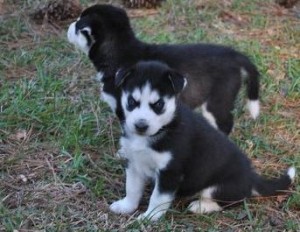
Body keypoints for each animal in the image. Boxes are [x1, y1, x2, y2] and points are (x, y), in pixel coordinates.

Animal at [68, 3, 260, 134]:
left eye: (78, 23)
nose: (69, 26)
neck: (119, 51)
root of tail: (234, 54)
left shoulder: (125, 109)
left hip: (217, 101)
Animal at [110, 61, 296, 221]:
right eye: (132, 101)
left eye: (158, 104)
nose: (140, 126)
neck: (162, 129)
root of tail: (251, 177)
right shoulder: (134, 162)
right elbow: (132, 188)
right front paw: (126, 206)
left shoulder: (170, 172)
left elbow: (157, 198)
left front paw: (149, 217)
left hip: (217, 188)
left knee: (230, 202)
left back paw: (201, 206)